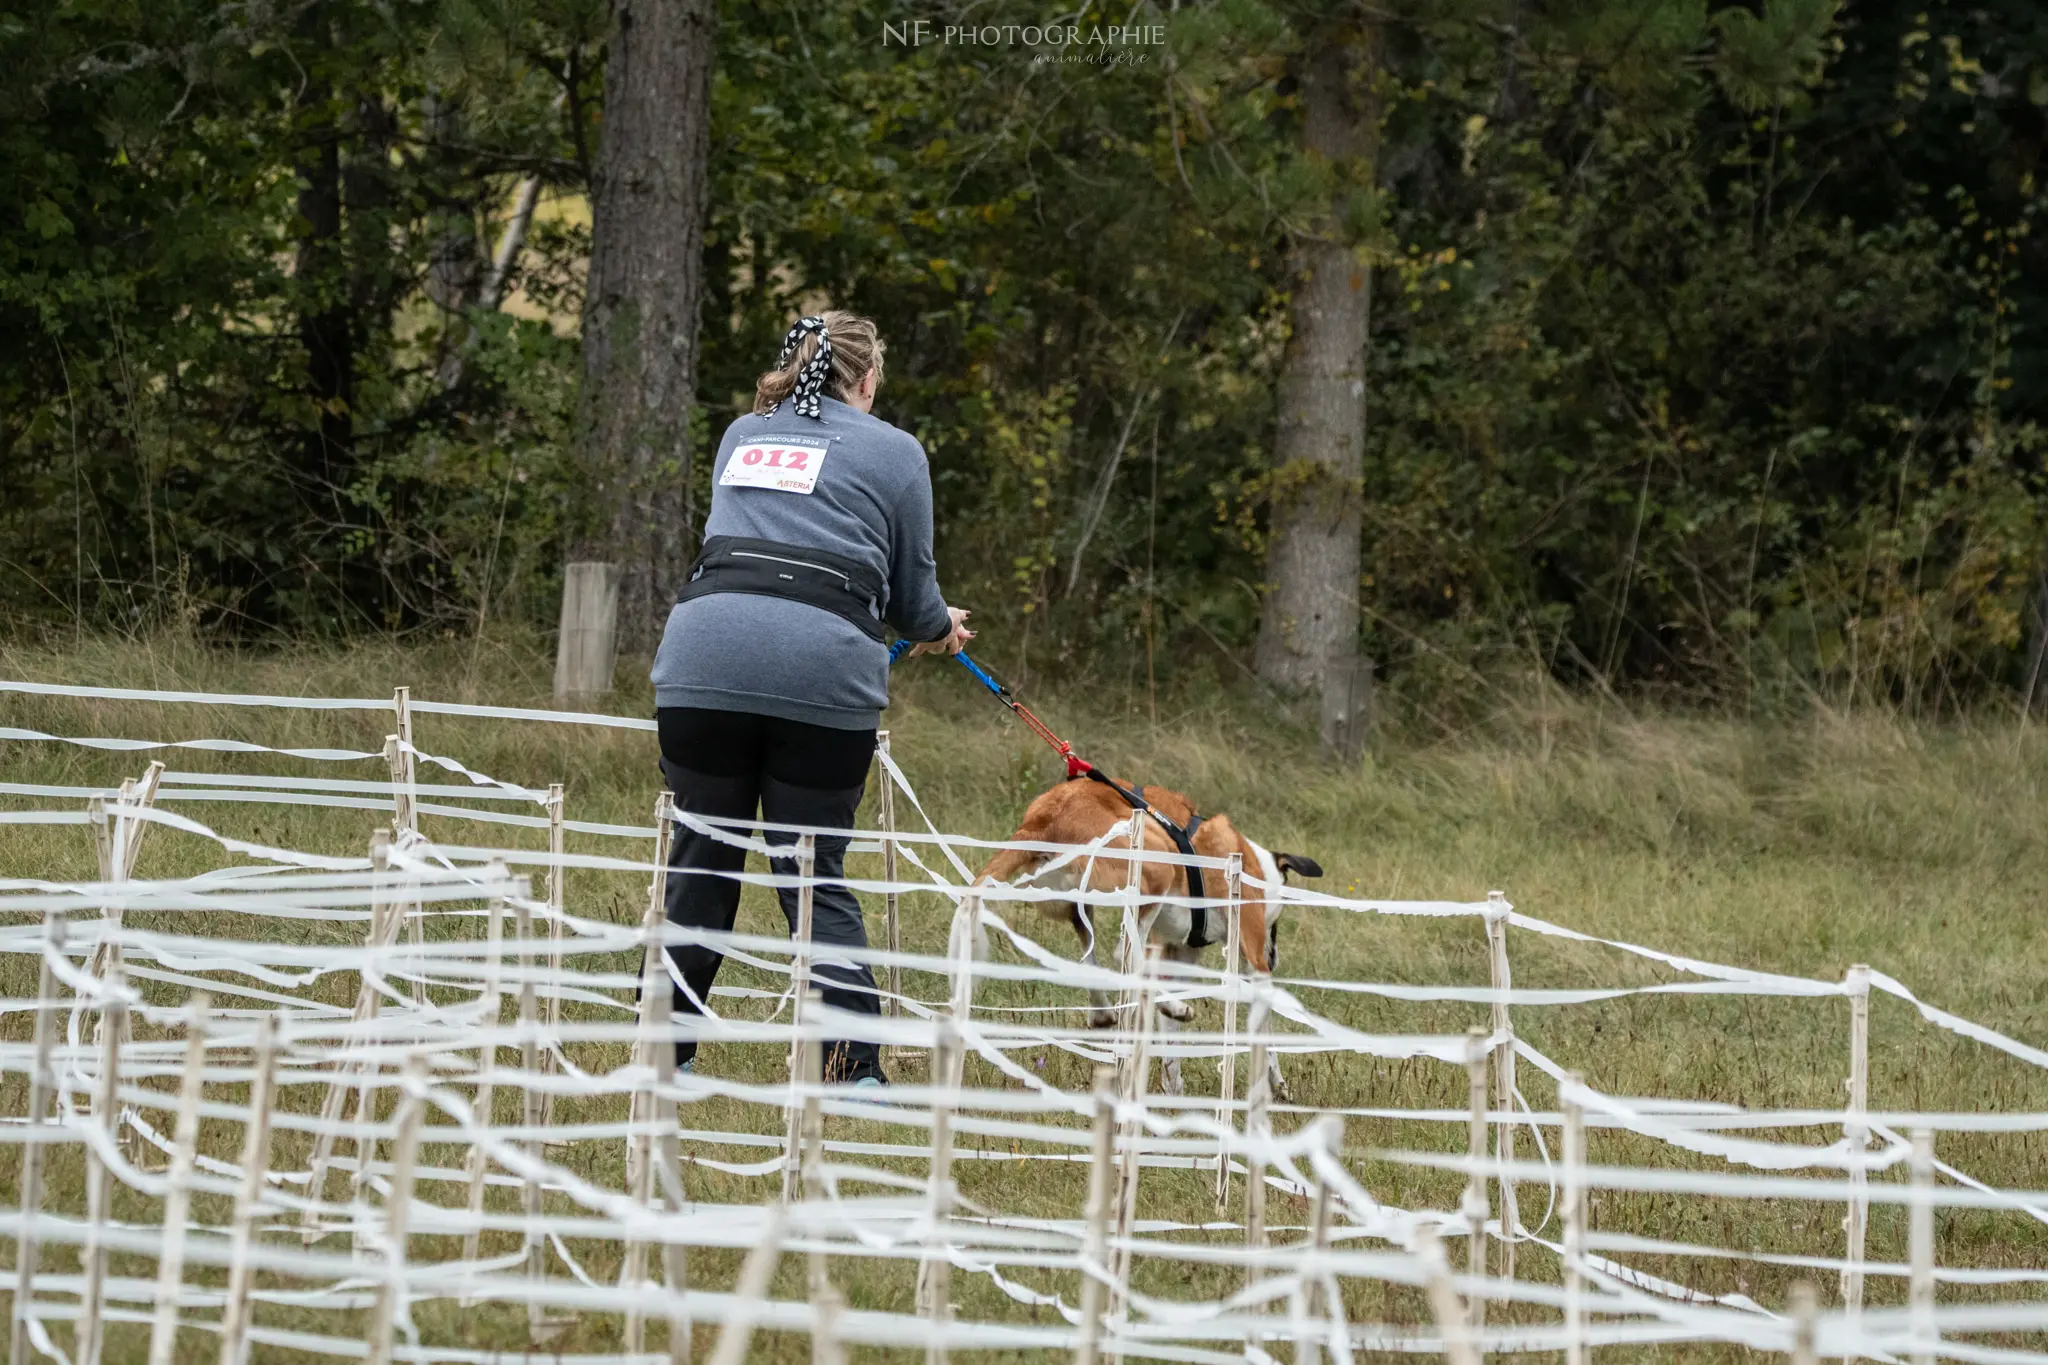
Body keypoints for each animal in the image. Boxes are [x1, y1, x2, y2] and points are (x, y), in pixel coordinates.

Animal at [974, 777, 1327, 1096]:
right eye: (1276, 923)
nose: (1274, 957)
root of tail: (1042, 819)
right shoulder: (1252, 954)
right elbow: (1265, 1030)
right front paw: (1276, 1082)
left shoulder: (1181, 954)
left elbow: (1171, 1045)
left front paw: (1172, 1092)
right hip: (1158, 866)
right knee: (1126, 954)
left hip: (1078, 903)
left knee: (1094, 959)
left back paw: (1110, 1013)